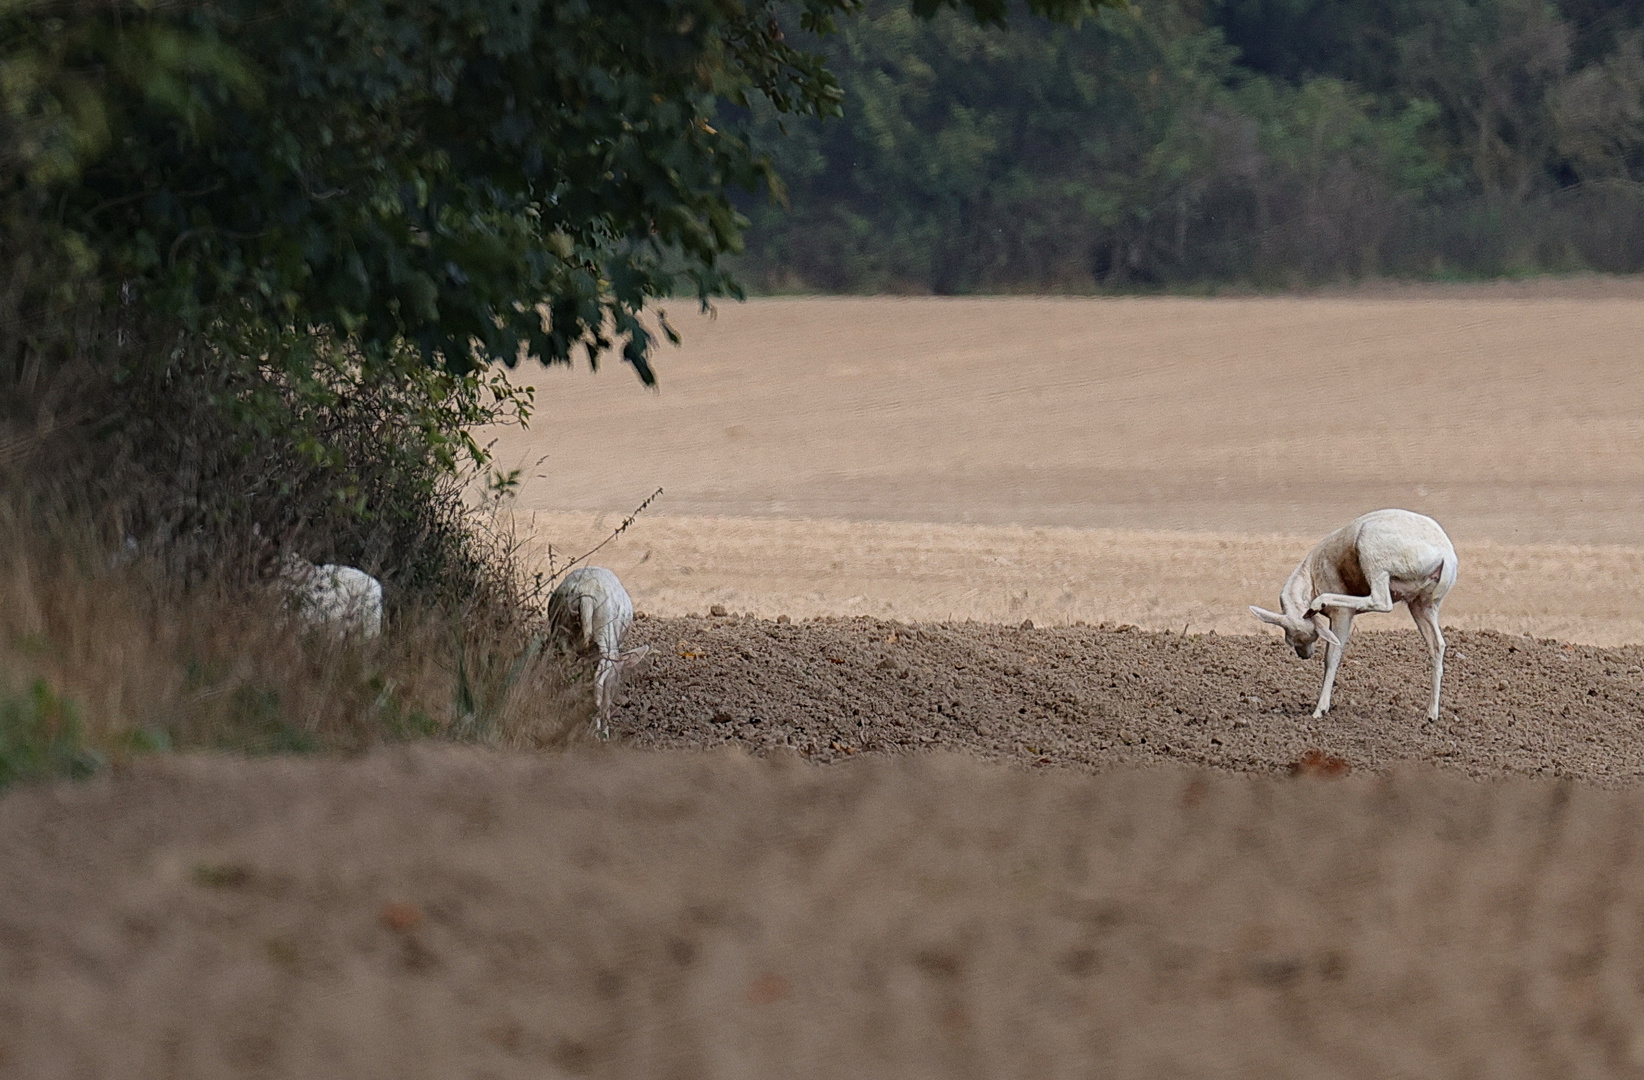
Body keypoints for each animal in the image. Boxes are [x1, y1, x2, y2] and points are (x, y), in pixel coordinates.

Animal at [552, 565, 654, 733]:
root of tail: (585, 593)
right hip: (606, 633)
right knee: (598, 682)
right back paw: (598, 727)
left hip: (561, 629)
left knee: (562, 671)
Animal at [1249, 509, 1459, 720]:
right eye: (1290, 640)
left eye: (1309, 636)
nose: (1304, 656)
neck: (1312, 573)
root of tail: (1445, 556)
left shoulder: (1341, 615)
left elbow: (1332, 656)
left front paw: (1319, 710)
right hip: (1422, 604)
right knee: (1437, 644)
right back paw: (1431, 714)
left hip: (1375, 562)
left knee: (1381, 601)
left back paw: (1319, 602)